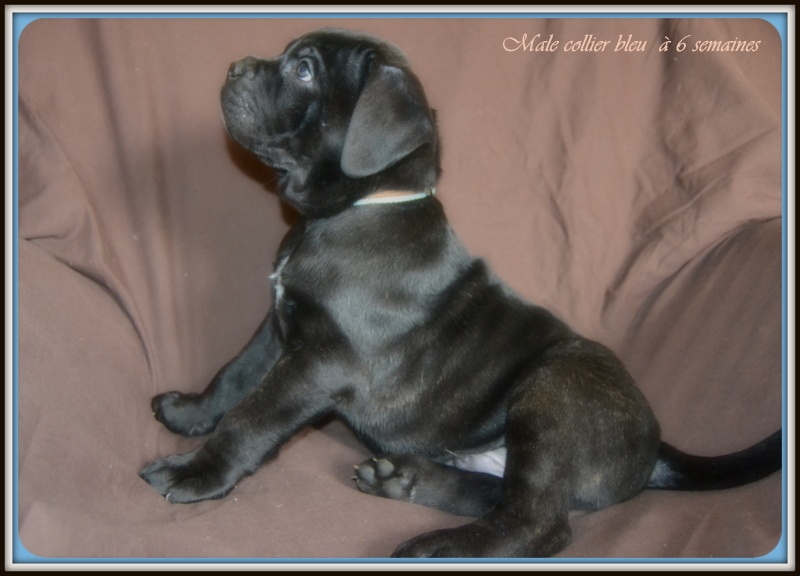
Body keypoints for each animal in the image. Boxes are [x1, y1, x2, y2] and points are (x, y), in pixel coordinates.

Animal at [140, 28, 781, 558]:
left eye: (303, 70)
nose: (233, 67)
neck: (355, 208)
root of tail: (653, 447)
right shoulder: (278, 328)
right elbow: (235, 376)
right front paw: (188, 411)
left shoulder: (319, 360)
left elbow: (253, 415)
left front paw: (197, 473)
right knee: (501, 495)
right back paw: (405, 480)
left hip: (550, 394)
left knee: (537, 522)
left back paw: (437, 545)